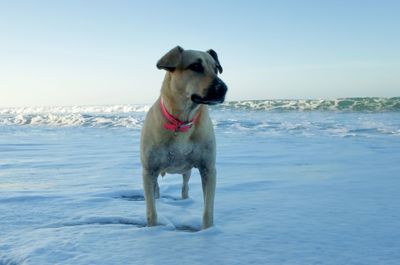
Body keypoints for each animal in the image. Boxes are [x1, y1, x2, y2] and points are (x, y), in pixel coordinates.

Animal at [141, 46, 228, 229]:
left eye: (216, 69)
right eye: (195, 66)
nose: (223, 88)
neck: (181, 122)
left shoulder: (208, 169)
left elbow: (208, 209)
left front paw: (208, 230)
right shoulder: (148, 170)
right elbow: (151, 211)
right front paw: (152, 231)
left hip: (186, 171)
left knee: (185, 184)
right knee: (155, 189)